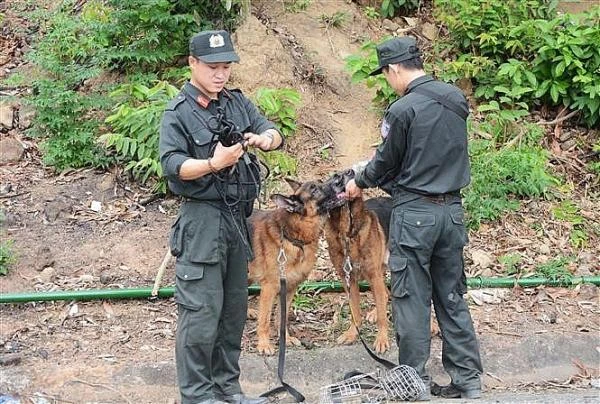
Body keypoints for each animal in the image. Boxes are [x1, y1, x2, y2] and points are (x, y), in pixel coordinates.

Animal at [246, 178, 328, 356]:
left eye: (320, 182)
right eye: (313, 189)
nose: (339, 179)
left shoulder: (289, 288)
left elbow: (280, 318)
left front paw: (286, 339)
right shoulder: (269, 288)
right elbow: (265, 320)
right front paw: (264, 344)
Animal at [322, 169, 392, 352]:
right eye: (335, 177)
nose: (351, 171)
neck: (347, 233)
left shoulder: (373, 276)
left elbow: (382, 315)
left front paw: (382, 339)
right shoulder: (349, 280)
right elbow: (355, 311)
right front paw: (352, 333)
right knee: (386, 293)